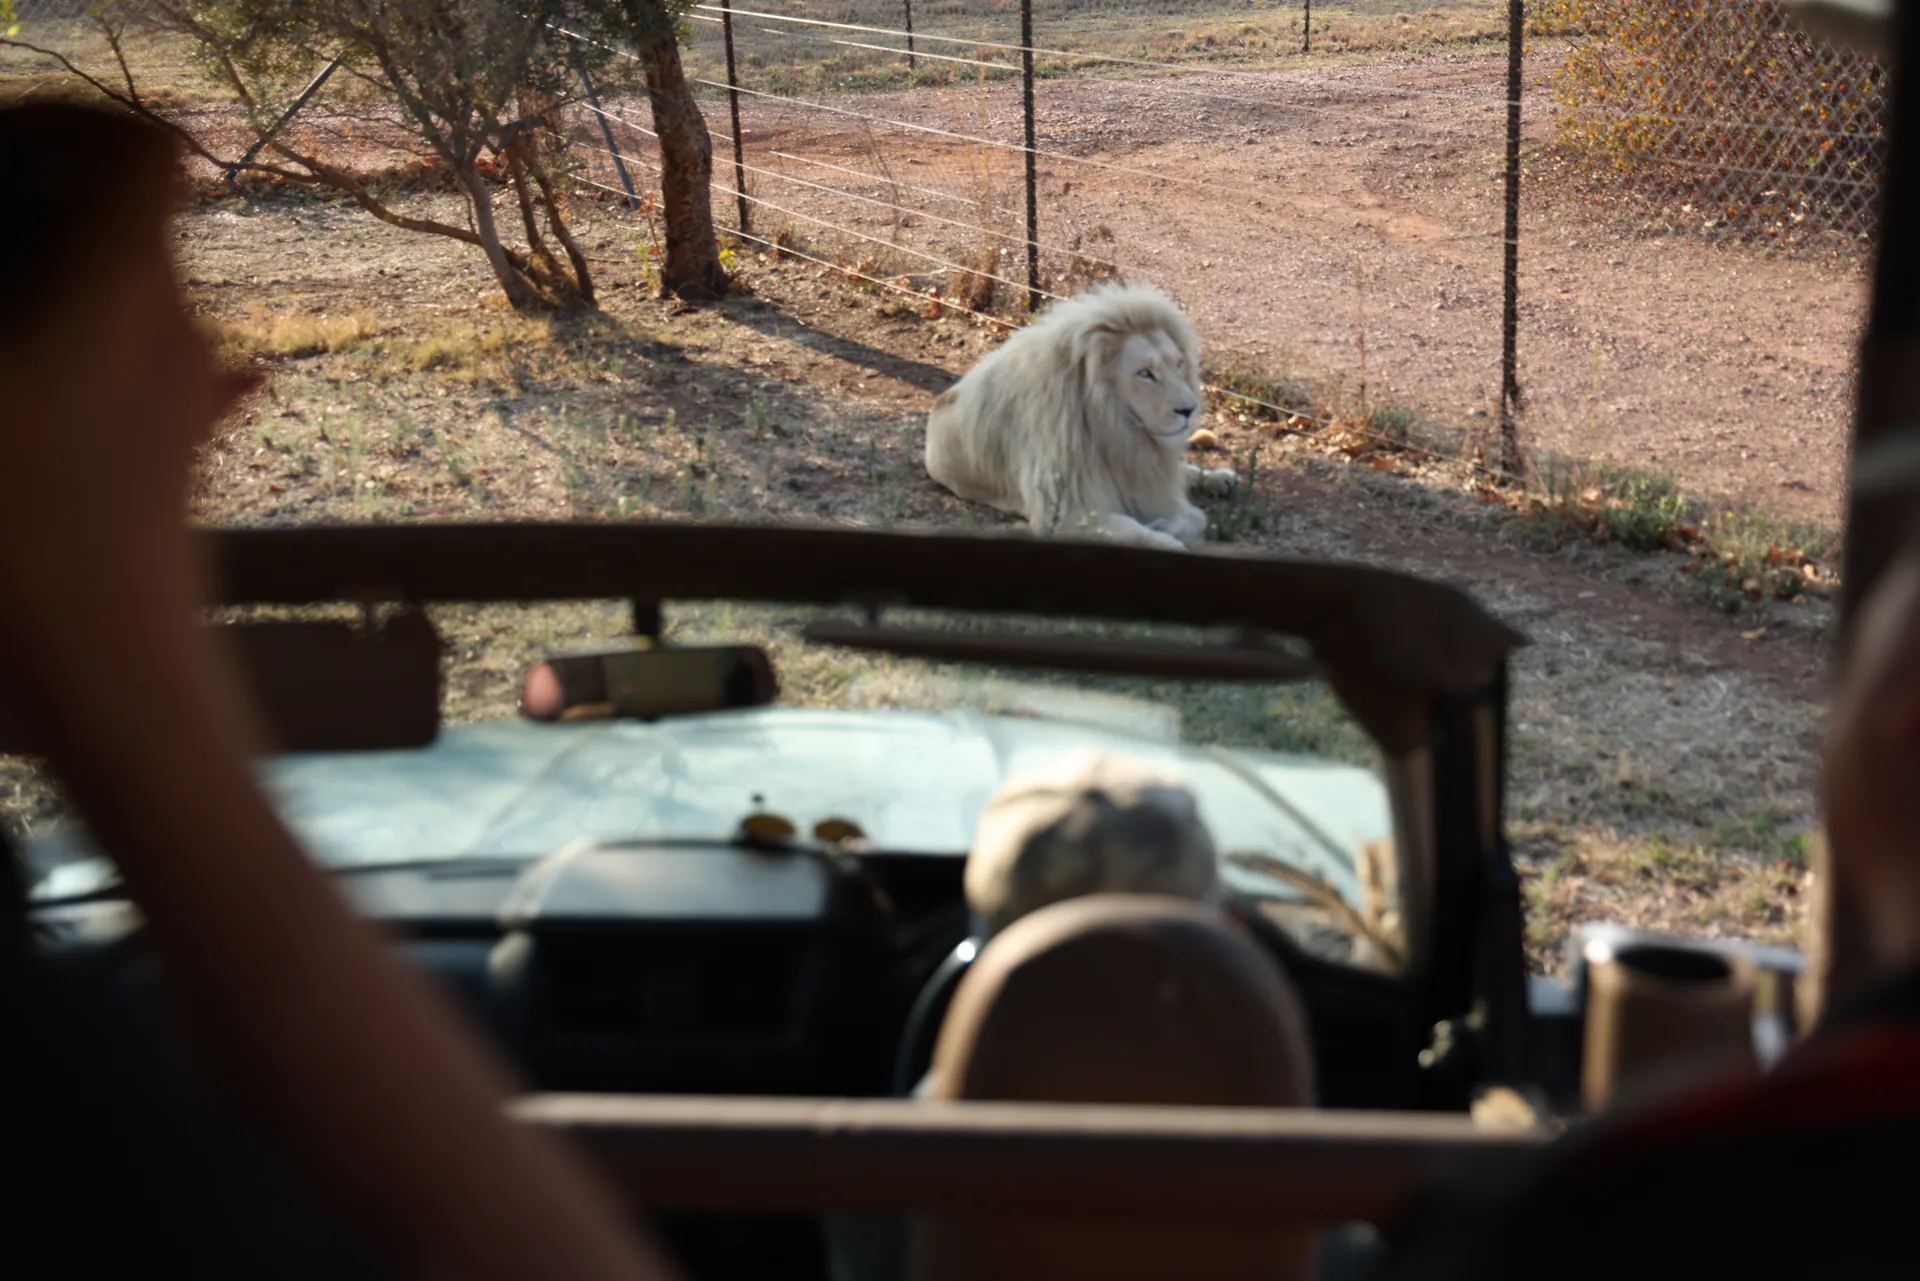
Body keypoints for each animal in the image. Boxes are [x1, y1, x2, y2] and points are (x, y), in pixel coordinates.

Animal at [923, 282, 1240, 551]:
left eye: (1178, 364)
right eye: (1145, 373)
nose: (1190, 410)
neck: (1117, 432)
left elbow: (1195, 516)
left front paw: (1167, 524)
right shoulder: (1062, 511)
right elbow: (1133, 528)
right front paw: (1164, 538)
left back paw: (1221, 479)